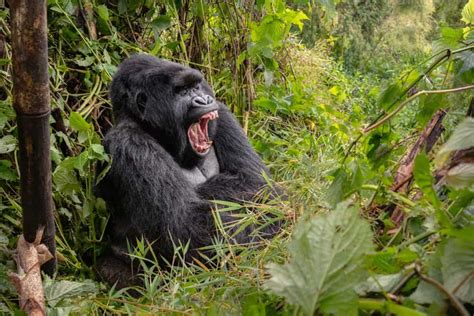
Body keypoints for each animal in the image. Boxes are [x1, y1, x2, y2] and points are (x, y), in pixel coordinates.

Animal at [96, 55, 280, 288]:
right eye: (182, 92)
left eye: (196, 87)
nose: (204, 100)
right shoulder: (129, 143)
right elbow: (186, 223)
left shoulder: (223, 113)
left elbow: (257, 183)